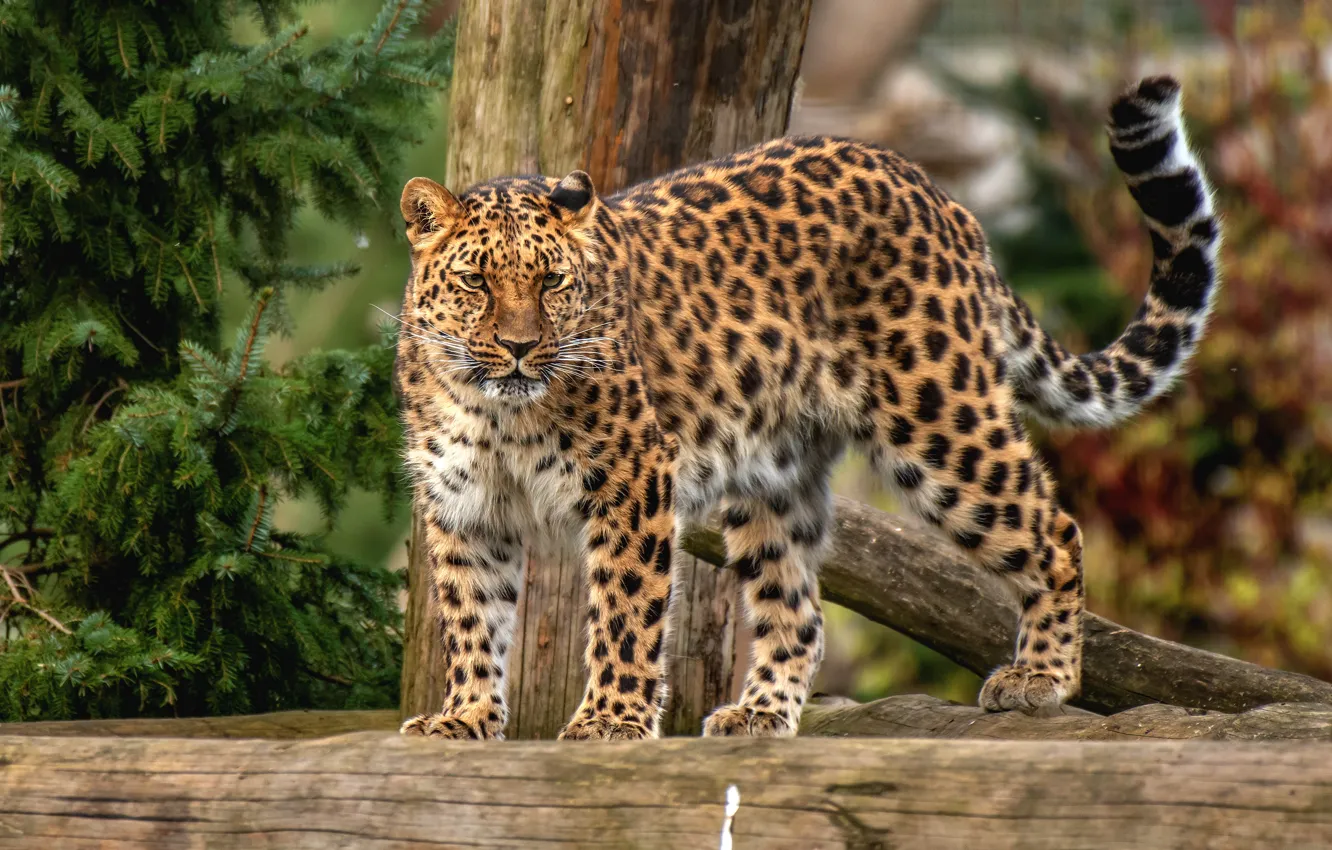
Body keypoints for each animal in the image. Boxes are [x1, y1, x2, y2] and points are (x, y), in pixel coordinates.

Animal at [394, 76, 1220, 741]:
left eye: (554, 282)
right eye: (475, 282)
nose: (520, 347)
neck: (496, 410)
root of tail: (939, 195)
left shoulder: (632, 482)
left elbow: (626, 611)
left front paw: (611, 721)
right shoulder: (463, 507)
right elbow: (470, 620)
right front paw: (464, 716)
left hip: (940, 422)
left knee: (1054, 529)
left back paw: (1039, 677)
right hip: (773, 473)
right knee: (799, 610)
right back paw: (760, 712)